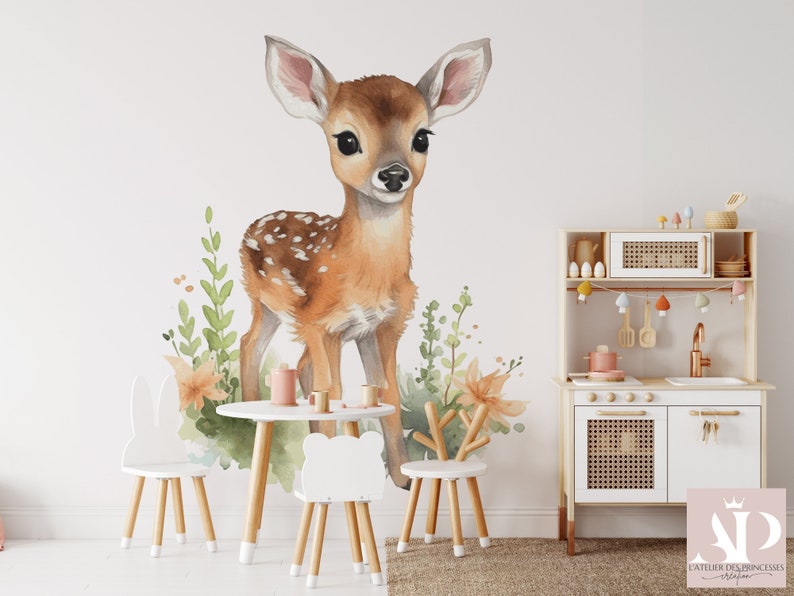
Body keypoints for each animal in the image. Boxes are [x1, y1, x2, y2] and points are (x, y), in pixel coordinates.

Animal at [239, 35, 491, 488]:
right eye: (346, 140)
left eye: (422, 137)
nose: (393, 175)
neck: (363, 273)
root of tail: (254, 224)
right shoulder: (319, 322)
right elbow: (331, 393)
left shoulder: (385, 325)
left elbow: (386, 393)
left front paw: (402, 477)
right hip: (263, 300)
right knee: (252, 344)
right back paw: (253, 423)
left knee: (288, 361)